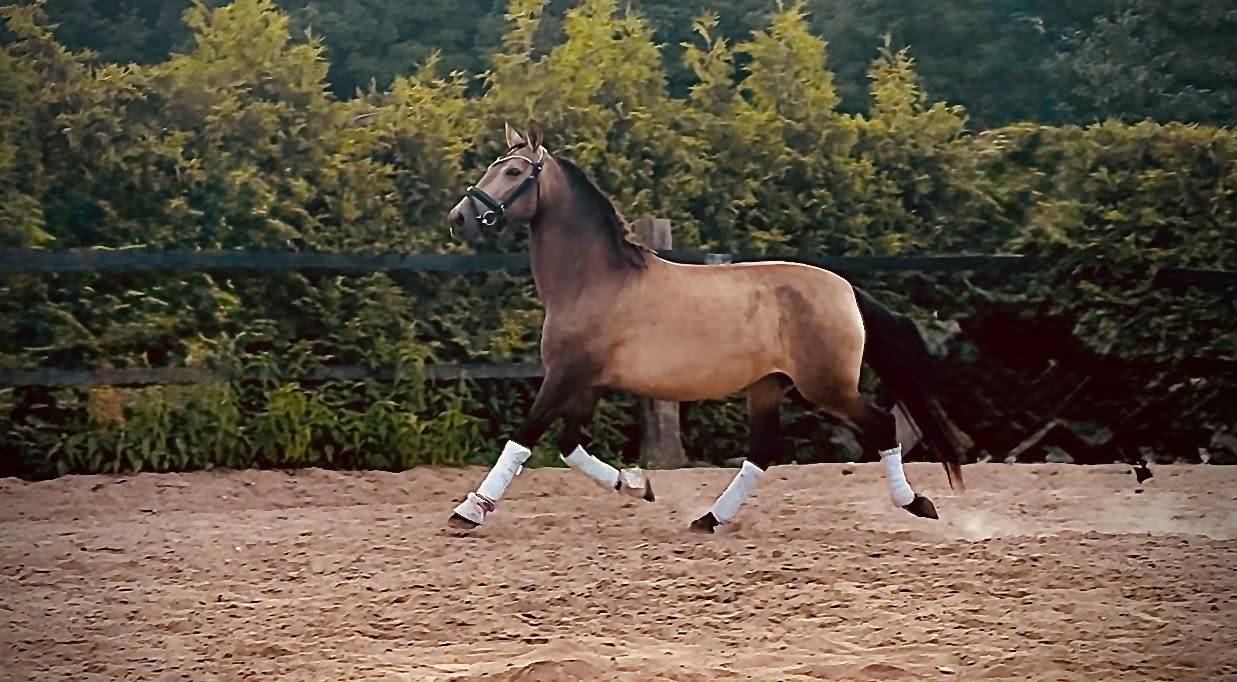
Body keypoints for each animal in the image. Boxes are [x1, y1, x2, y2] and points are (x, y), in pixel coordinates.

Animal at [445, 122, 967, 533]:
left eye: (513, 172)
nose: (459, 219)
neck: (596, 281)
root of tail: (845, 289)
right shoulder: (588, 383)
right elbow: (568, 445)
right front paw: (637, 484)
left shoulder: (566, 376)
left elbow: (523, 439)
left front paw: (469, 510)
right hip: (768, 385)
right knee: (761, 453)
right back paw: (710, 518)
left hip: (826, 386)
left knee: (879, 424)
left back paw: (917, 503)